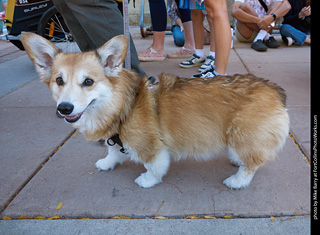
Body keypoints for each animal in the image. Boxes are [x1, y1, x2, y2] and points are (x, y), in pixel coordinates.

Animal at [21, 33, 288, 189]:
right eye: (59, 81)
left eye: (88, 82)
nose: (64, 108)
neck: (121, 105)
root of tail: (275, 91)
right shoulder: (114, 138)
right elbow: (113, 151)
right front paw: (107, 163)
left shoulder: (152, 148)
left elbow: (154, 166)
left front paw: (147, 180)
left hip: (242, 134)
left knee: (252, 164)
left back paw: (236, 180)